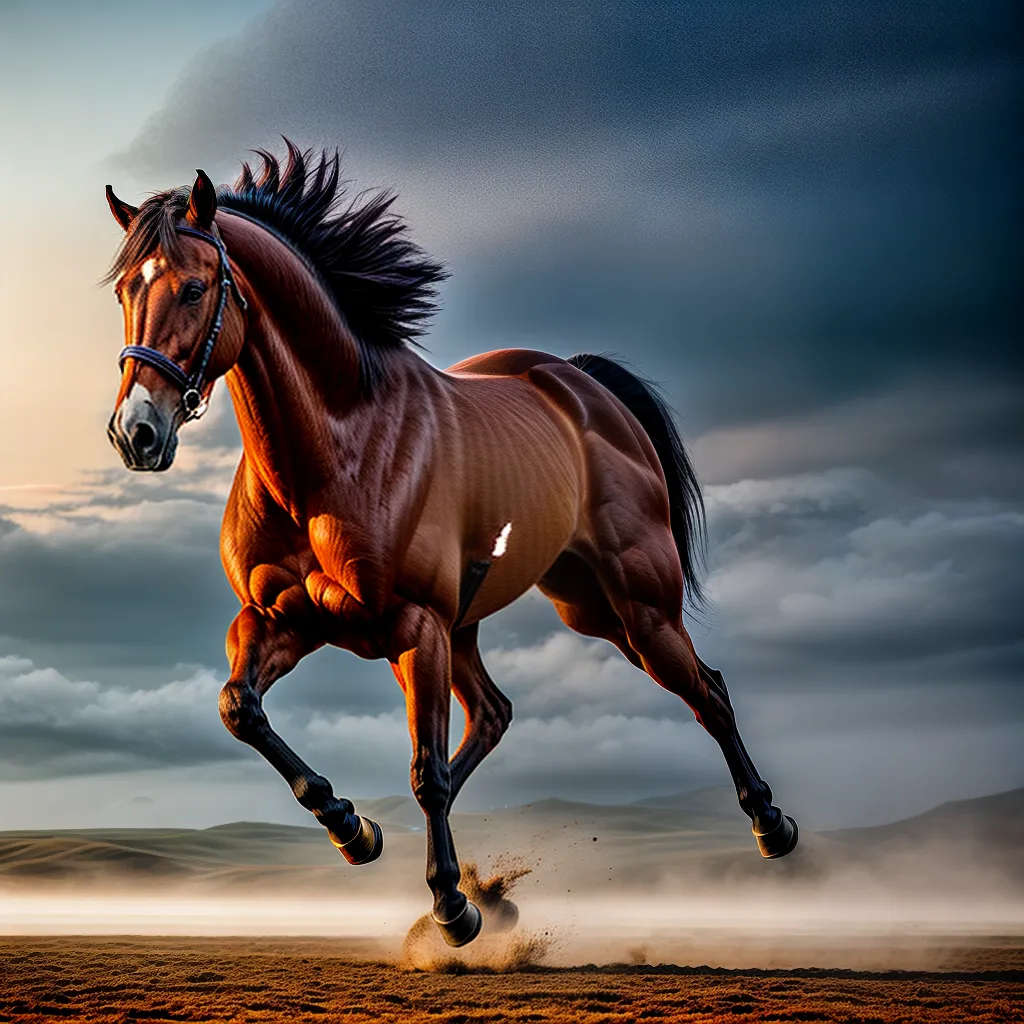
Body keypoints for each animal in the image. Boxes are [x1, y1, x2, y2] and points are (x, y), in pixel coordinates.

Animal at [104, 142, 798, 948]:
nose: (136, 433)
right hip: (518, 617)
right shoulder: (280, 620)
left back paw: (771, 825)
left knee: (705, 692)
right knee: (495, 713)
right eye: (124, 291)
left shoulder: (414, 626)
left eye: (192, 288)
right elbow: (239, 708)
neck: (330, 453)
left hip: (628, 611)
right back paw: (487, 889)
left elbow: (426, 772)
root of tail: (581, 382)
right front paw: (354, 830)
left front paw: (451, 907)